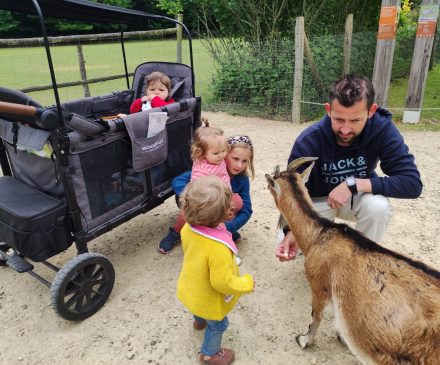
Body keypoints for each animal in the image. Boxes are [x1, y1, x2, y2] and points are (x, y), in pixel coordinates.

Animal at [264, 156, 440, 364]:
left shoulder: (319, 283)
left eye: (270, 186)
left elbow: (316, 315)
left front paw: (304, 340)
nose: (282, 227)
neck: (319, 236)